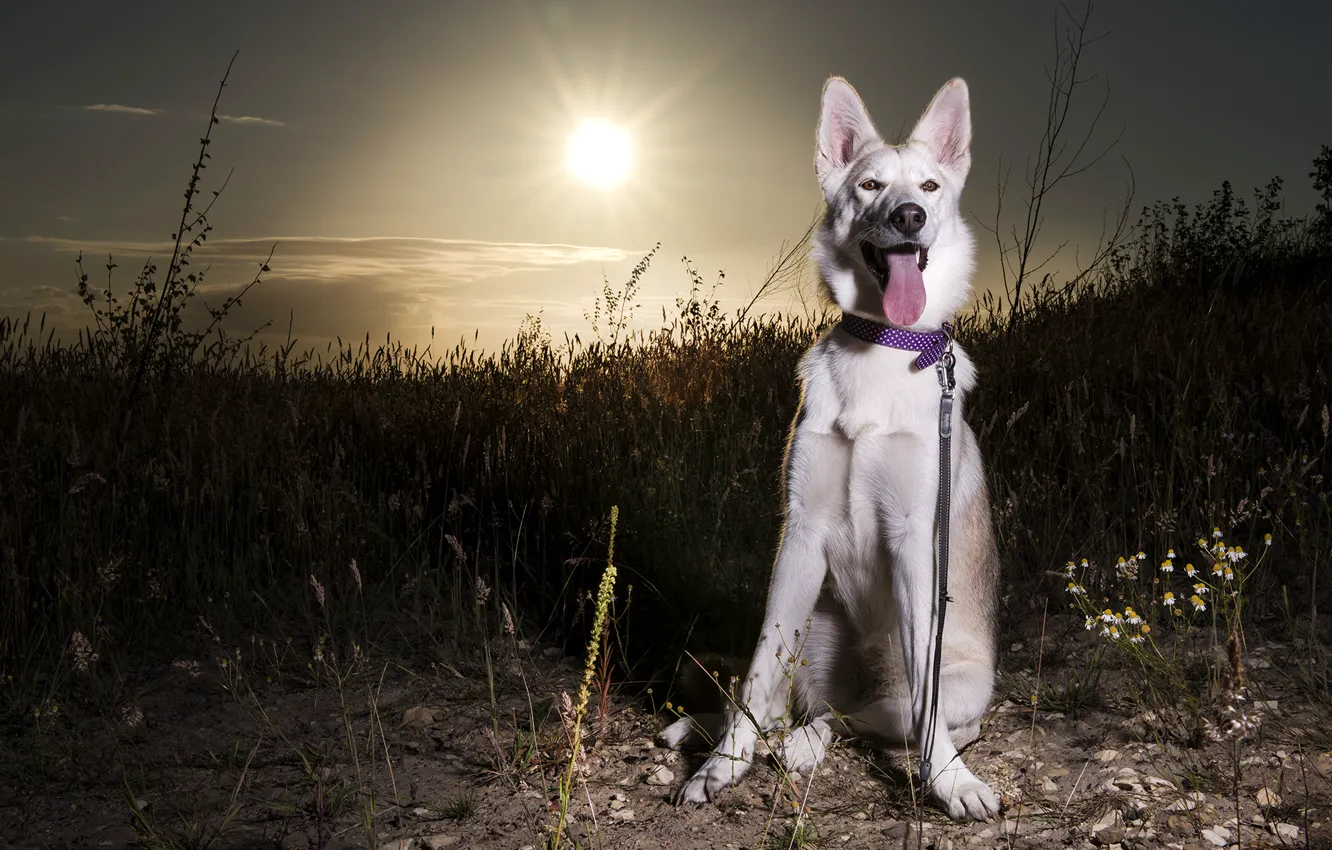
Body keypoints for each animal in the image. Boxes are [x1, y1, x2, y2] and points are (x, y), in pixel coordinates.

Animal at [663, 76, 1001, 820]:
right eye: (870, 184)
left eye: (929, 186)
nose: (909, 216)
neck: (886, 345)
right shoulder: (801, 534)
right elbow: (757, 676)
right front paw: (722, 765)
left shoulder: (915, 539)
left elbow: (926, 707)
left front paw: (951, 782)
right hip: (813, 630)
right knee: (791, 705)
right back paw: (714, 730)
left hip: (965, 684)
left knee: (867, 717)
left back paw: (805, 745)